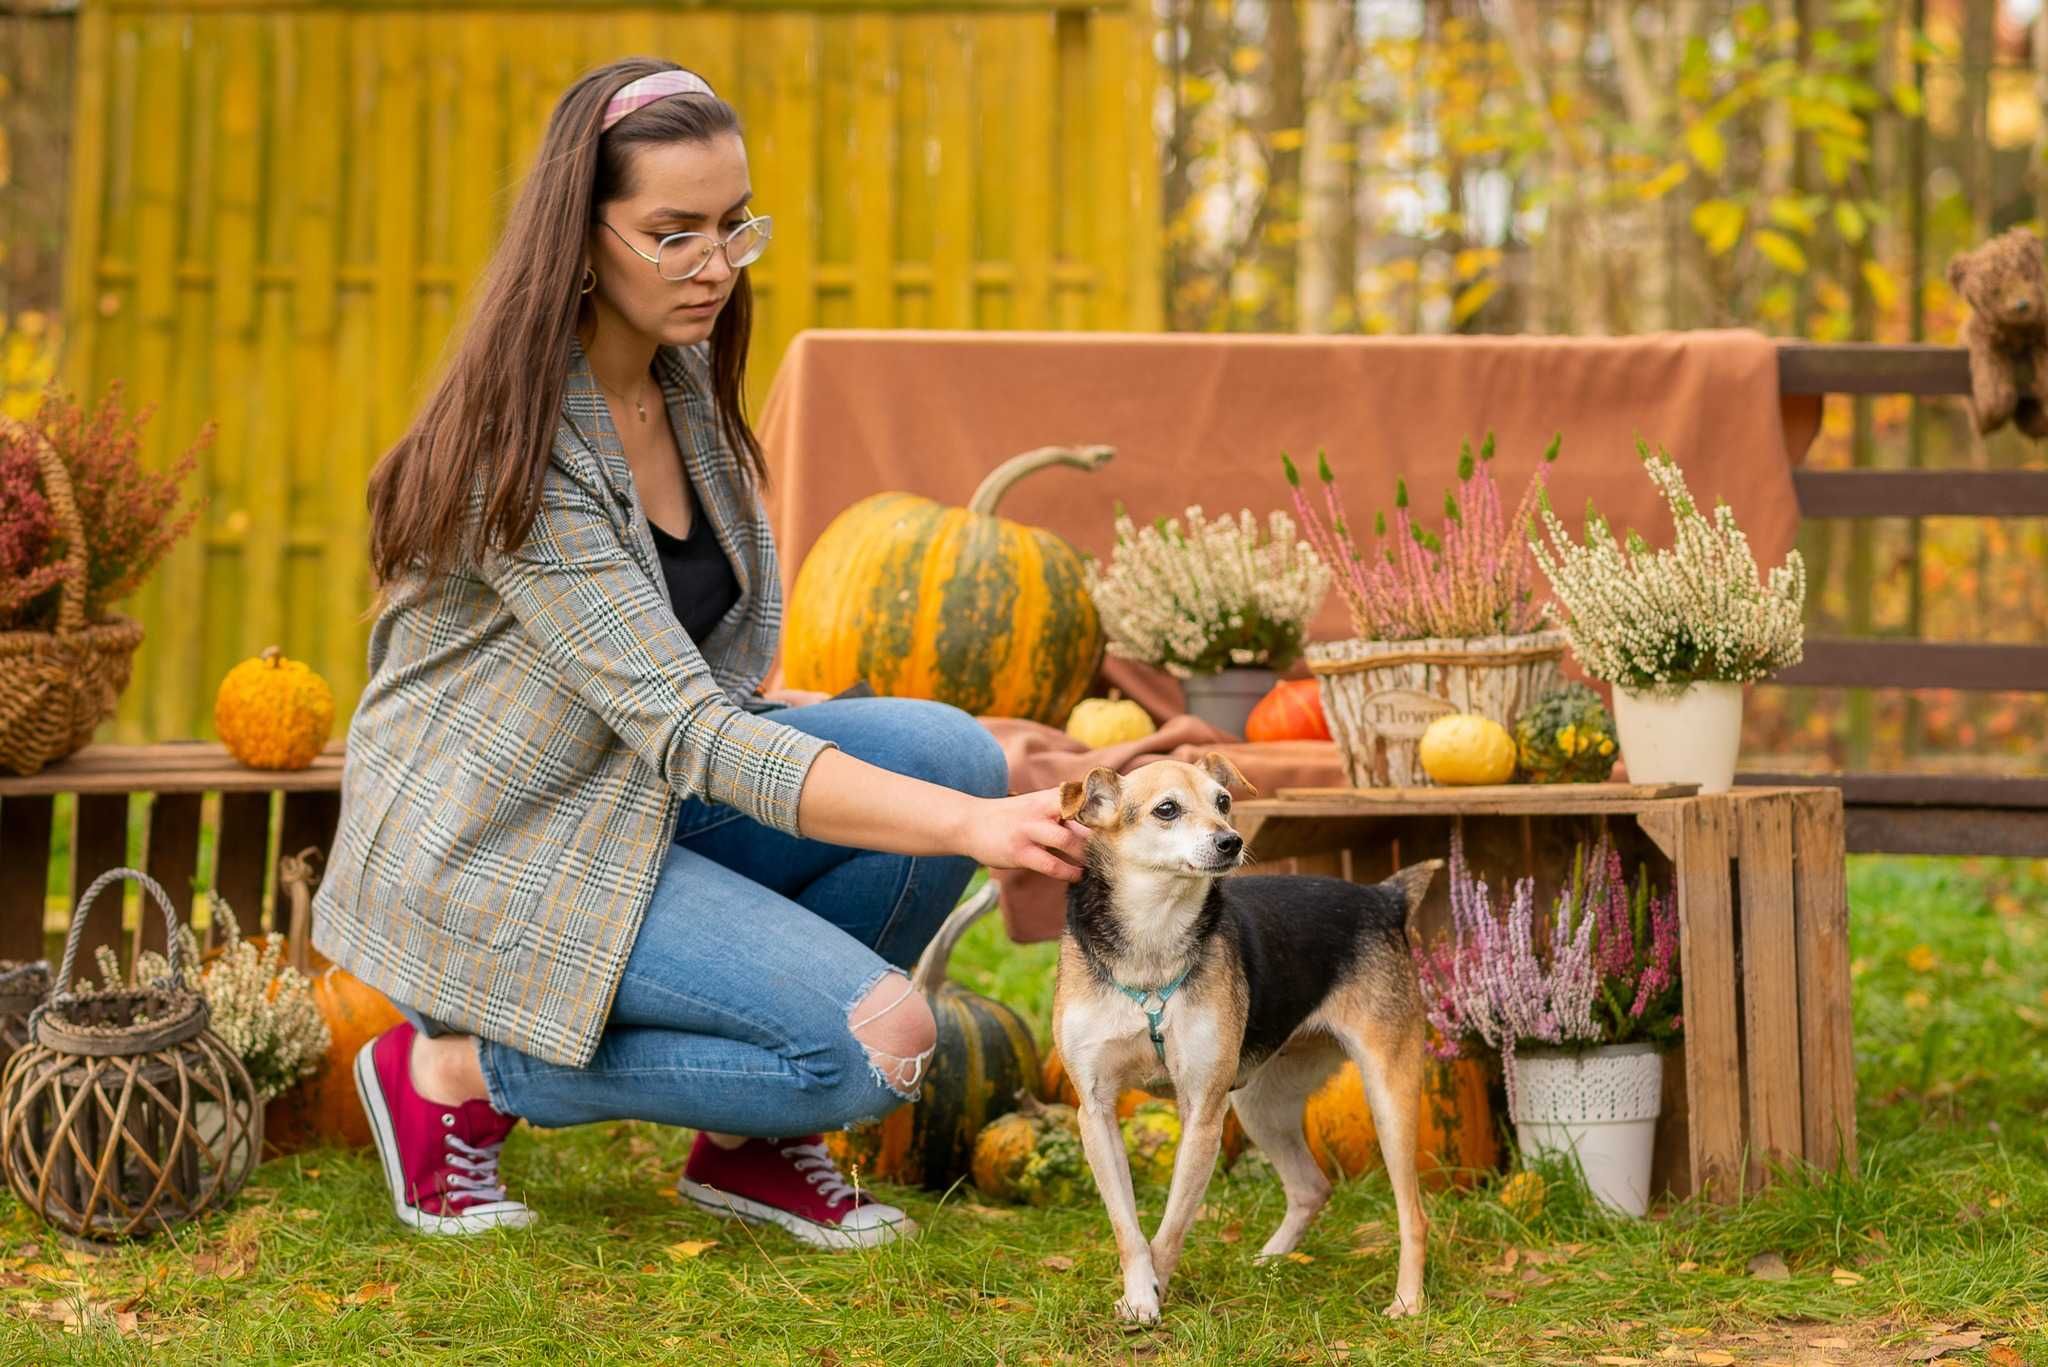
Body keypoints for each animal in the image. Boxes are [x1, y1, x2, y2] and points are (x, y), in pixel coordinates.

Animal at [1056, 754, 1441, 1319]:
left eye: (1224, 801)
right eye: (1166, 809)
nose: (1231, 841)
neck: (1154, 935)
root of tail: (1382, 896)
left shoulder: (1202, 1111)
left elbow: (1171, 1228)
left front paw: (1156, 1293)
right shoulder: (1096, 1111)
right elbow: (1127, 1227)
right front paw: (1139, 1294)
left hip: (1388, 1095)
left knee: (1413, 1214)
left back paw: (1408, 1302)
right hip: (1262, 1104)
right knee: (1310, 1187)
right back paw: (1269, 1263)